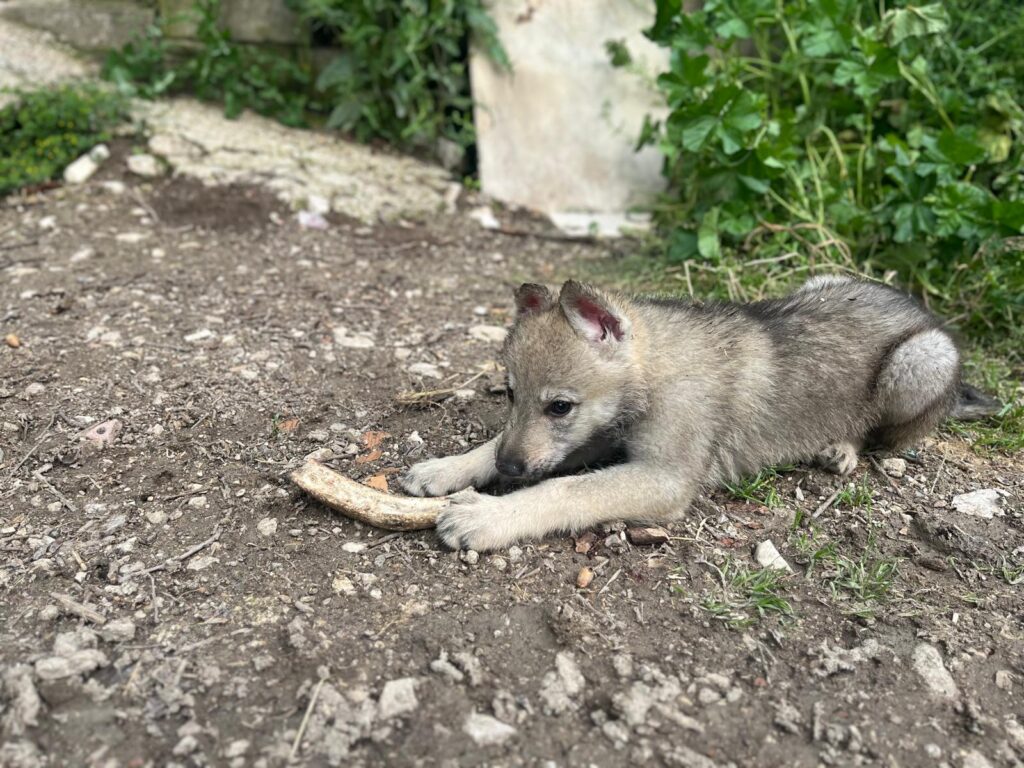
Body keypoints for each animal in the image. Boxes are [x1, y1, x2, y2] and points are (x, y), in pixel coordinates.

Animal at [401, 277, 998, 551]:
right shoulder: (604, 435)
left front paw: (487, 516)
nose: (509, 470)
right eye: (509, 396)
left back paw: (842, 448)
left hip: (917, 361)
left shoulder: (663, 477)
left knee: (885, 435)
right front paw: (448, 468)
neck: (656, 372)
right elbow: (515, 454)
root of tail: (921, 311)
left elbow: (566, 491)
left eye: (560, 406)